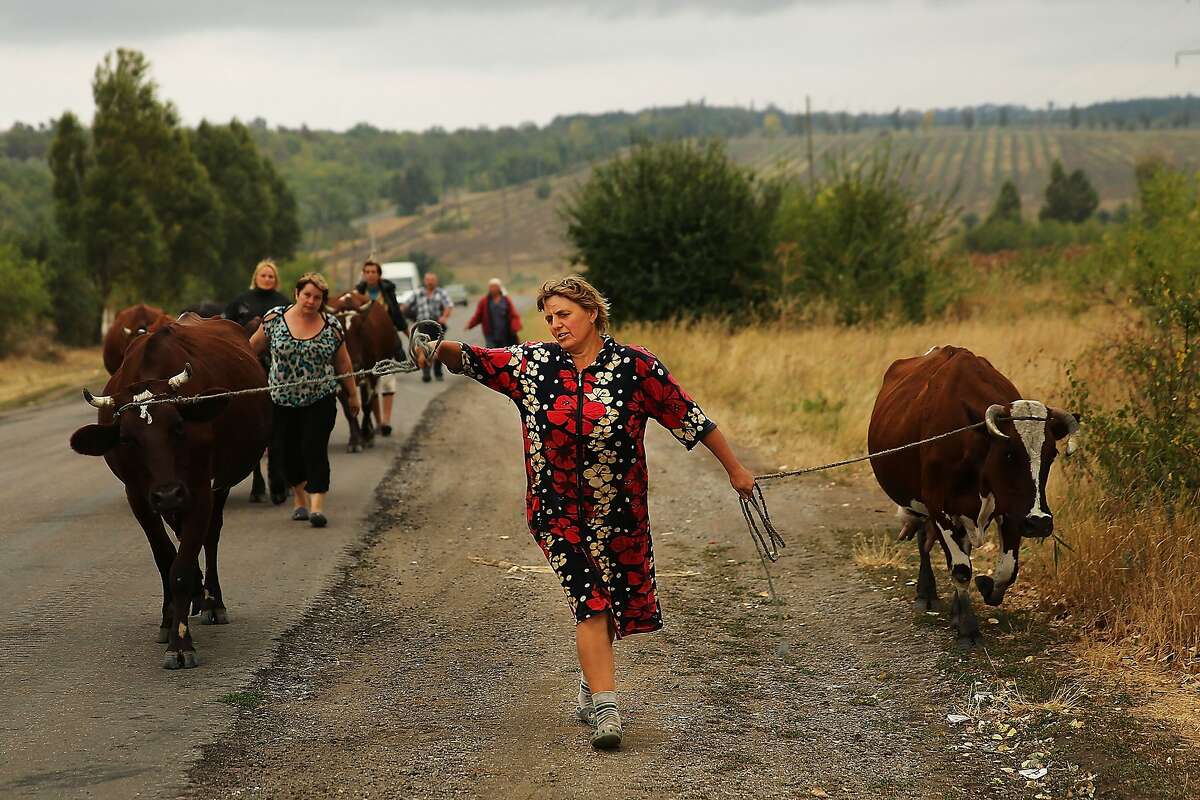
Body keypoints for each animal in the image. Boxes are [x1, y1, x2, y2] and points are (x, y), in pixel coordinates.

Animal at [69, 311, 271, 671]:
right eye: (127, 440)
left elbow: (182, 566)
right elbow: (166, 559)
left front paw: (181, 644)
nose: (167, 494)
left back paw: (211, 601)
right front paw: (168, 620)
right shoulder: (138, 497)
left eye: (178, 427)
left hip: (216, 487)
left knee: (210, 536)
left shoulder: (199, 490)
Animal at [331, 291, 400, 450]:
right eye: (340, 332)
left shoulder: (371, 374)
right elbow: (349, 409)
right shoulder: (339, 378)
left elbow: (367, 405)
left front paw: (366, 436)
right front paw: (355, 440)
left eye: (361, 329)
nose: (355, 364)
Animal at [868, 347, 1084, 647]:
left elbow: (1007, 569)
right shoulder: (939, 508)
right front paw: (968, 628)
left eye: (1051, 454)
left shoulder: (1011, 511)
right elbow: (960, 568)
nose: (1039, 522)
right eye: (1008, 454)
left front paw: (985, 589)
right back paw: (927, 594)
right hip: (924, 506)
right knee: (926, 542)